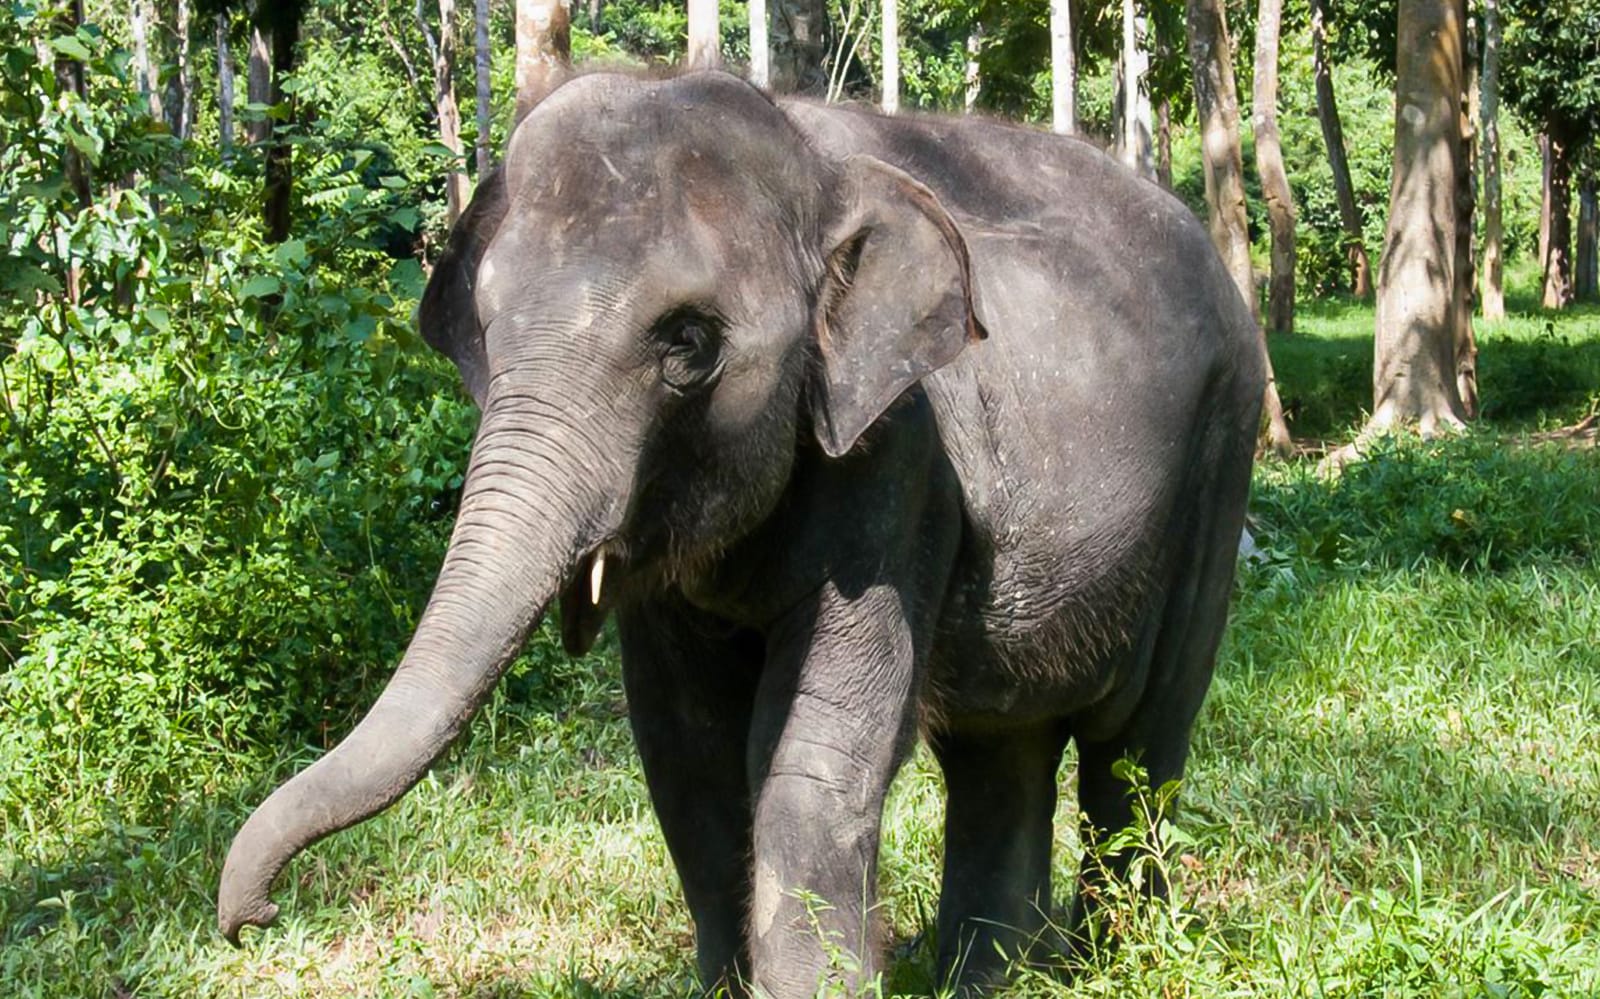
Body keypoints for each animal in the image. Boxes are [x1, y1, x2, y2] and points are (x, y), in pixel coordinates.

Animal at [218, 71, 1264, 997]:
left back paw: (1122, 958)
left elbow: (806, 763)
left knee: (1137, 752)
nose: (251, 920)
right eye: (484, 326)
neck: (810, 157)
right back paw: (999, 980)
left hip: (1222, 459)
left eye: (687, 343)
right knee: (1001, 753)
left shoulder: (902, 457)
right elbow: (689, 758)